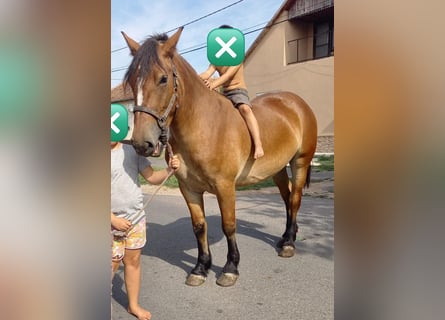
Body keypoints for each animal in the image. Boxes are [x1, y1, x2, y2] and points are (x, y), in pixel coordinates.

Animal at [120, 28, 316, 288]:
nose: (143, 143)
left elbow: (229, 225)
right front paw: (201, 268)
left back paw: (289, 244)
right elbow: (198, 226)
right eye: (132, 81)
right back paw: (285, 237)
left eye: (163, 79)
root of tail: (296, 102)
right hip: (277, 169)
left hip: (300, 161)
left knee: (294, 199)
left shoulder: (225, 187)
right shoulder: (188, 188)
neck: (204, 126)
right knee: (287, 197)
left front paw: (230, 268)